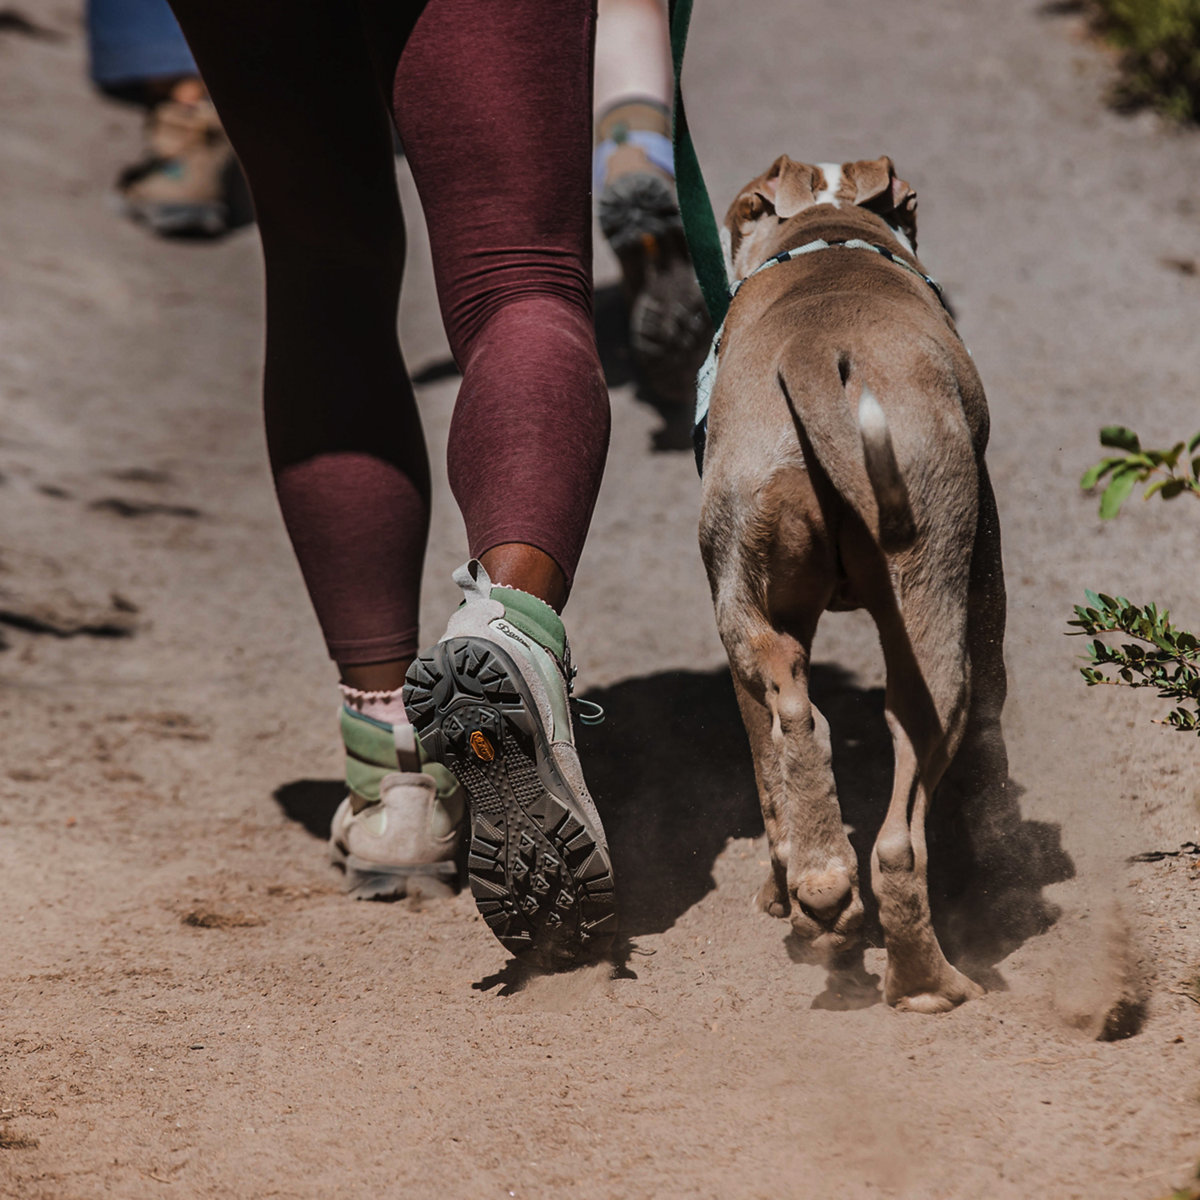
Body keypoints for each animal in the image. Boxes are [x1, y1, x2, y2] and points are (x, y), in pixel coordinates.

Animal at [700, 154, 1008, 1008]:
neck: (829, 230)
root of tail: (814, 355)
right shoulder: (987, 575)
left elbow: (765, 769)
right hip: (934, 613)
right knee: (902, 838)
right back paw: (926, 979)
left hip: (745, 583)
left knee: (791, 713)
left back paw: (820, 891)